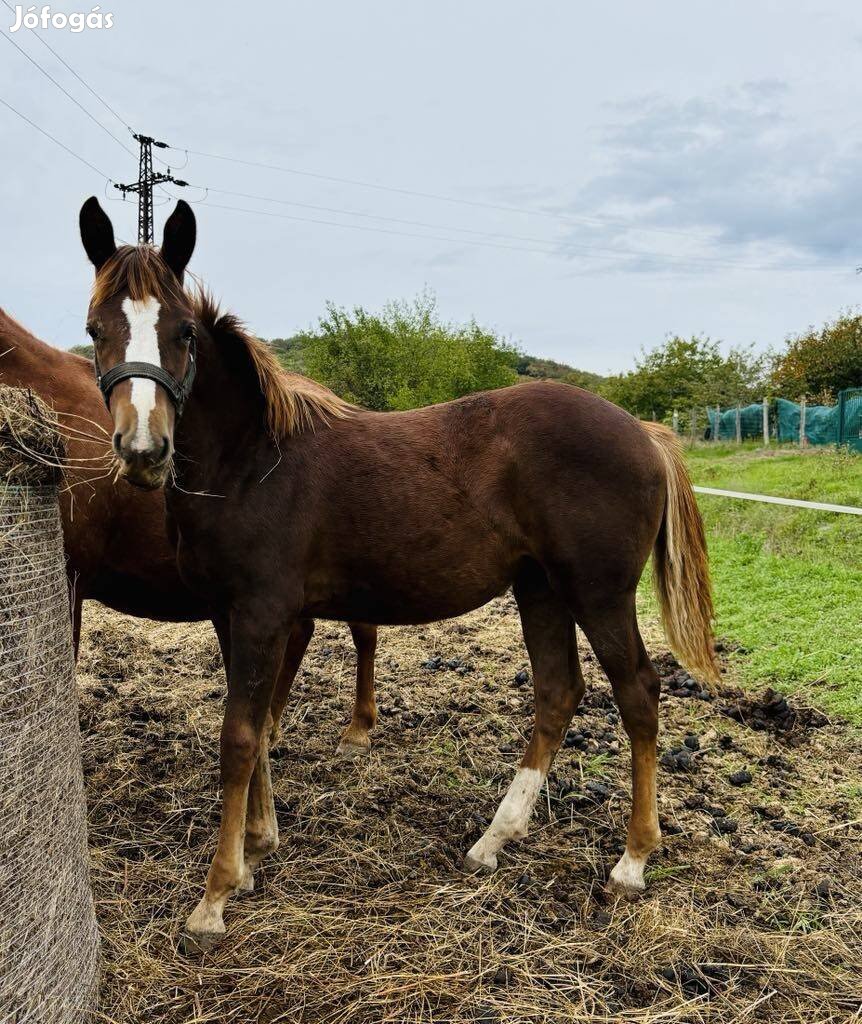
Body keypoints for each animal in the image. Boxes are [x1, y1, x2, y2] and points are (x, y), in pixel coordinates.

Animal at [78, 195, 712, 946]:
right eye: (95, 328)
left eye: (181, 332)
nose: (143, 450)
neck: (253, 461)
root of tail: (645, 431)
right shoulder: (230, 615)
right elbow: (256, 729)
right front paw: (257, 851)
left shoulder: (262, 613)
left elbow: (239, 737)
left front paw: (216, 895)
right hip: (540, 588)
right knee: (558, 693)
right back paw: (494, 841)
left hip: (598, 593)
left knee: (638, 694)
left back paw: (632, 860)